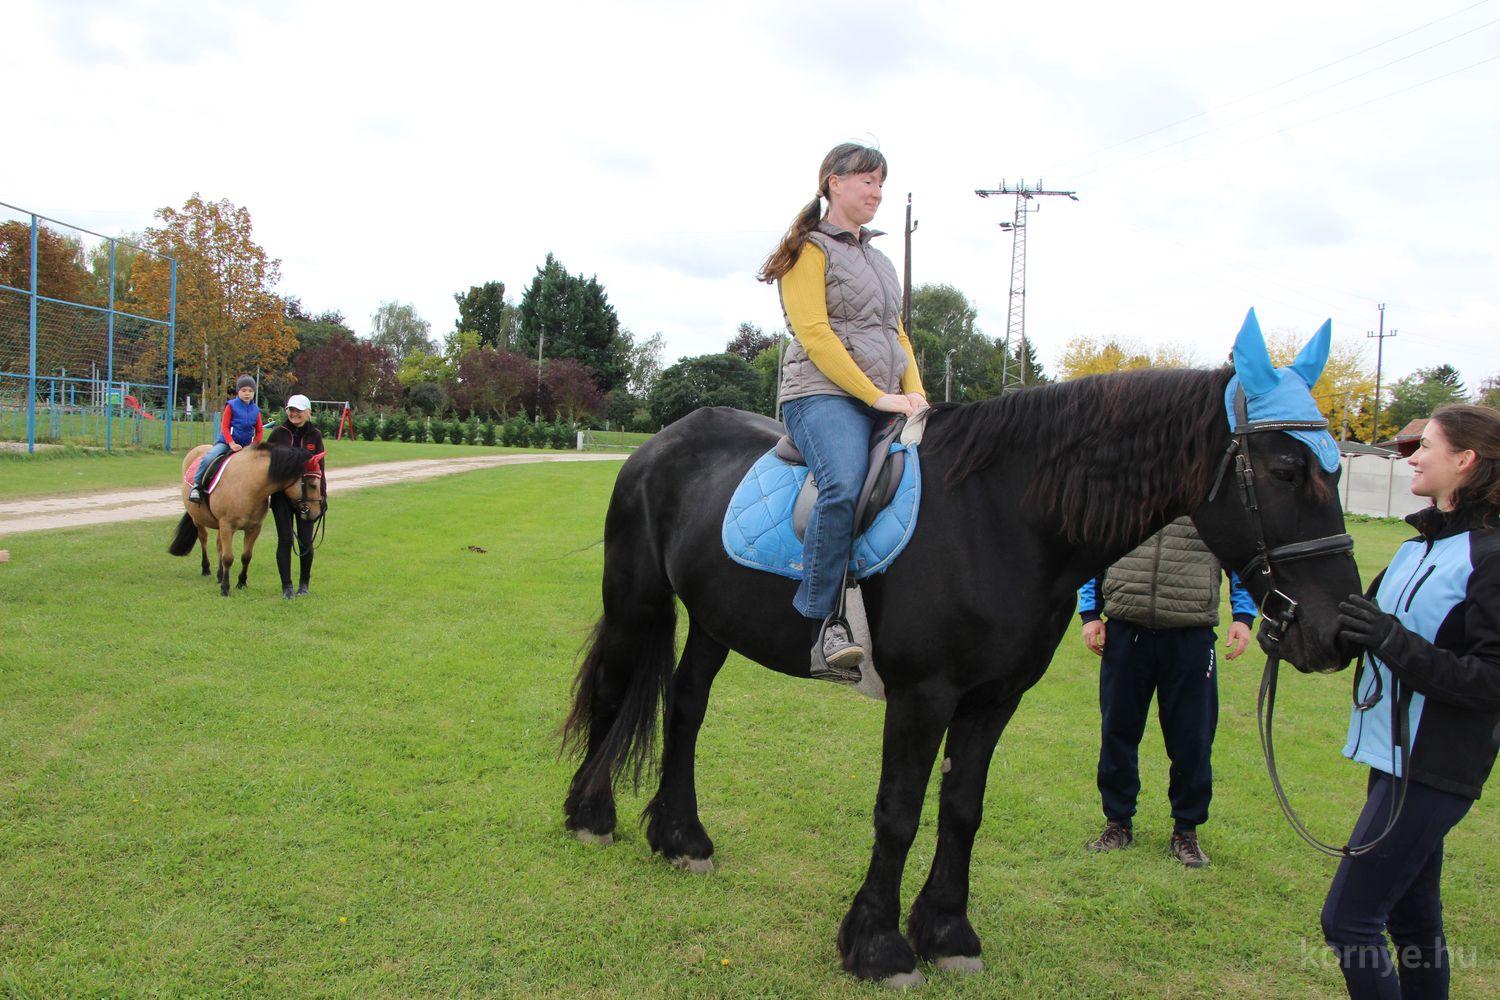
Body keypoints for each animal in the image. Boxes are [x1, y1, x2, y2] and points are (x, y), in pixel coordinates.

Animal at [168, 443, 323, 597]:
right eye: (313, 485)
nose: (317, 513)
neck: (247, 485)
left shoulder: (253, 528)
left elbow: (246, 556)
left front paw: (241, 582)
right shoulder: (227, 526)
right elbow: (228, 558)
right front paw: (225, 588)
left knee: (219, 545)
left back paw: (219, 574)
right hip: (198, 519)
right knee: (203, 539)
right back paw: (206, 569)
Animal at [560, 314, 1362, 987]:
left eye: (1338, 468)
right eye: (1287, 469)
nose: (1337, 631)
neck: (1002, 516)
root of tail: (662, 442)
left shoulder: (994, 699)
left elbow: (962, 809)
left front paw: (947, 933)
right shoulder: (923, 696)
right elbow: (898, 812)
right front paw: (879, 947)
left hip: (714, 622)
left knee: (686, 707)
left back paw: (681, 837)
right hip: (635, 601)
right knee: (616, 687)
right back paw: (590, 816)